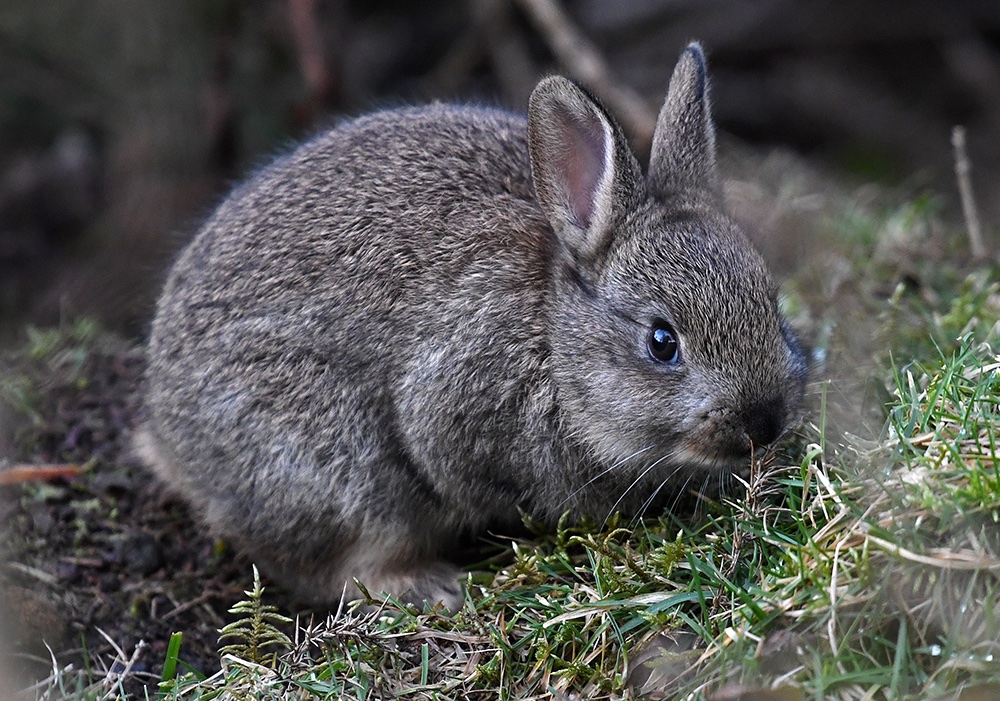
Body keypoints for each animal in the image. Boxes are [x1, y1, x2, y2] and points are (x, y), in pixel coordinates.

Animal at [137, 42, 808, 612]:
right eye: (662, 342)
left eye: (772, 305)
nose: (763, 423)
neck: (553, 340)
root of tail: (173, 441)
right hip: (334, 466)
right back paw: (431, 586)